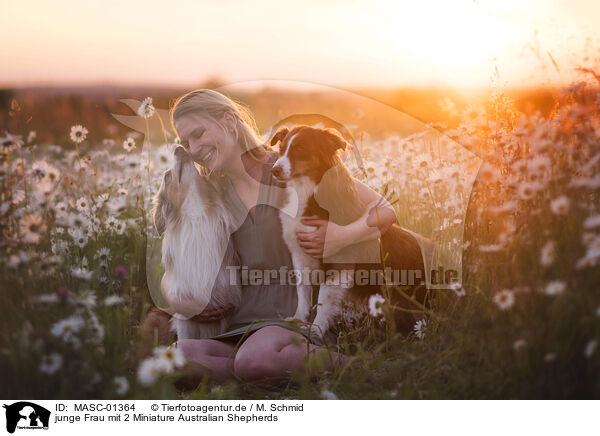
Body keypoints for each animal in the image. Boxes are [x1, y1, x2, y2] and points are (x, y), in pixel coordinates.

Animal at [268, 124, 432, 336]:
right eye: (281, 150)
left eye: (300, 149)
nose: (275, 170)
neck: (307, 193)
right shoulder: (300, 254)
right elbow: (303, 292)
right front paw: (298, 320)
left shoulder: (338, 262)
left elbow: (324, 299)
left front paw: (316, 329)